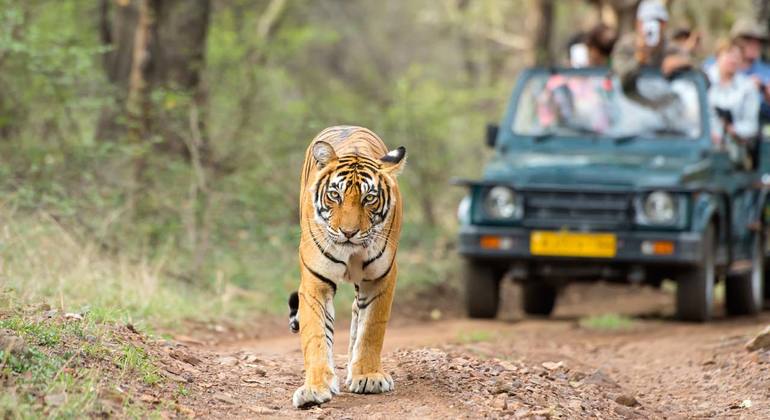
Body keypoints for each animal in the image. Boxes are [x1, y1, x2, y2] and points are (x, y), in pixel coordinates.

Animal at [290, 126, 408, 408]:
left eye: (369, 198)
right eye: (335, 195)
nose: (348, 232)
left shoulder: (380, 278)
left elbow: (372, 328)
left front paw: (368, 376)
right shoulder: (315, 282)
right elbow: (316, 336)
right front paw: (315, 388)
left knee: (357, 313)